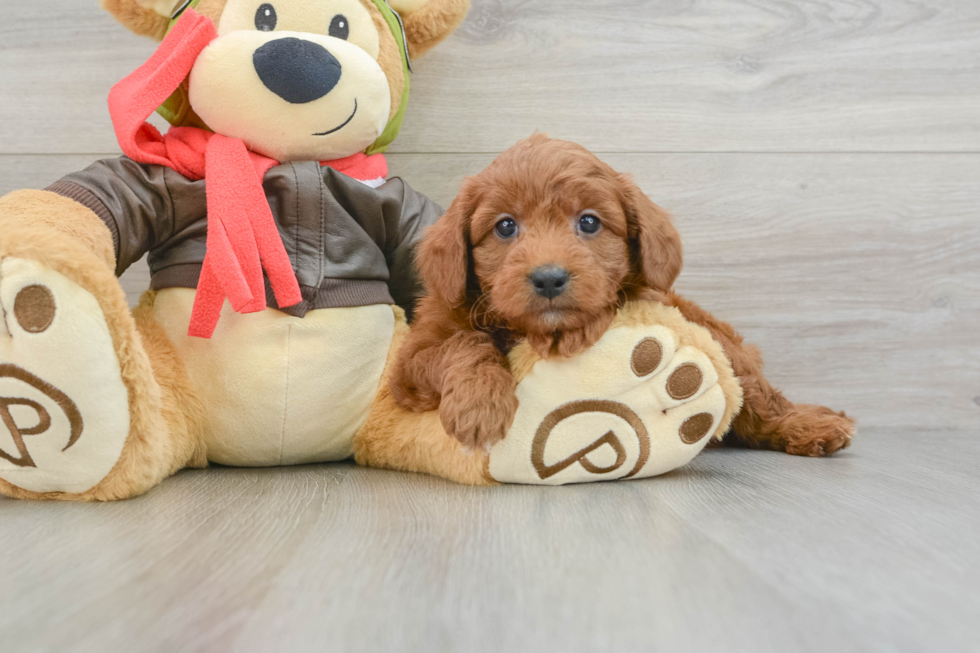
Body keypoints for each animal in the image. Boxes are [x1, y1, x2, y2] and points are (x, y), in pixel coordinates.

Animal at [394, 135, 852, 456]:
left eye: (589, 222)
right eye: (505, 226)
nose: (548, 279)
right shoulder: (412, 361)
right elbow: (463, 344)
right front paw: (480, 406)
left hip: (720, 340)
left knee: (758, 394)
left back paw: (809, 426)